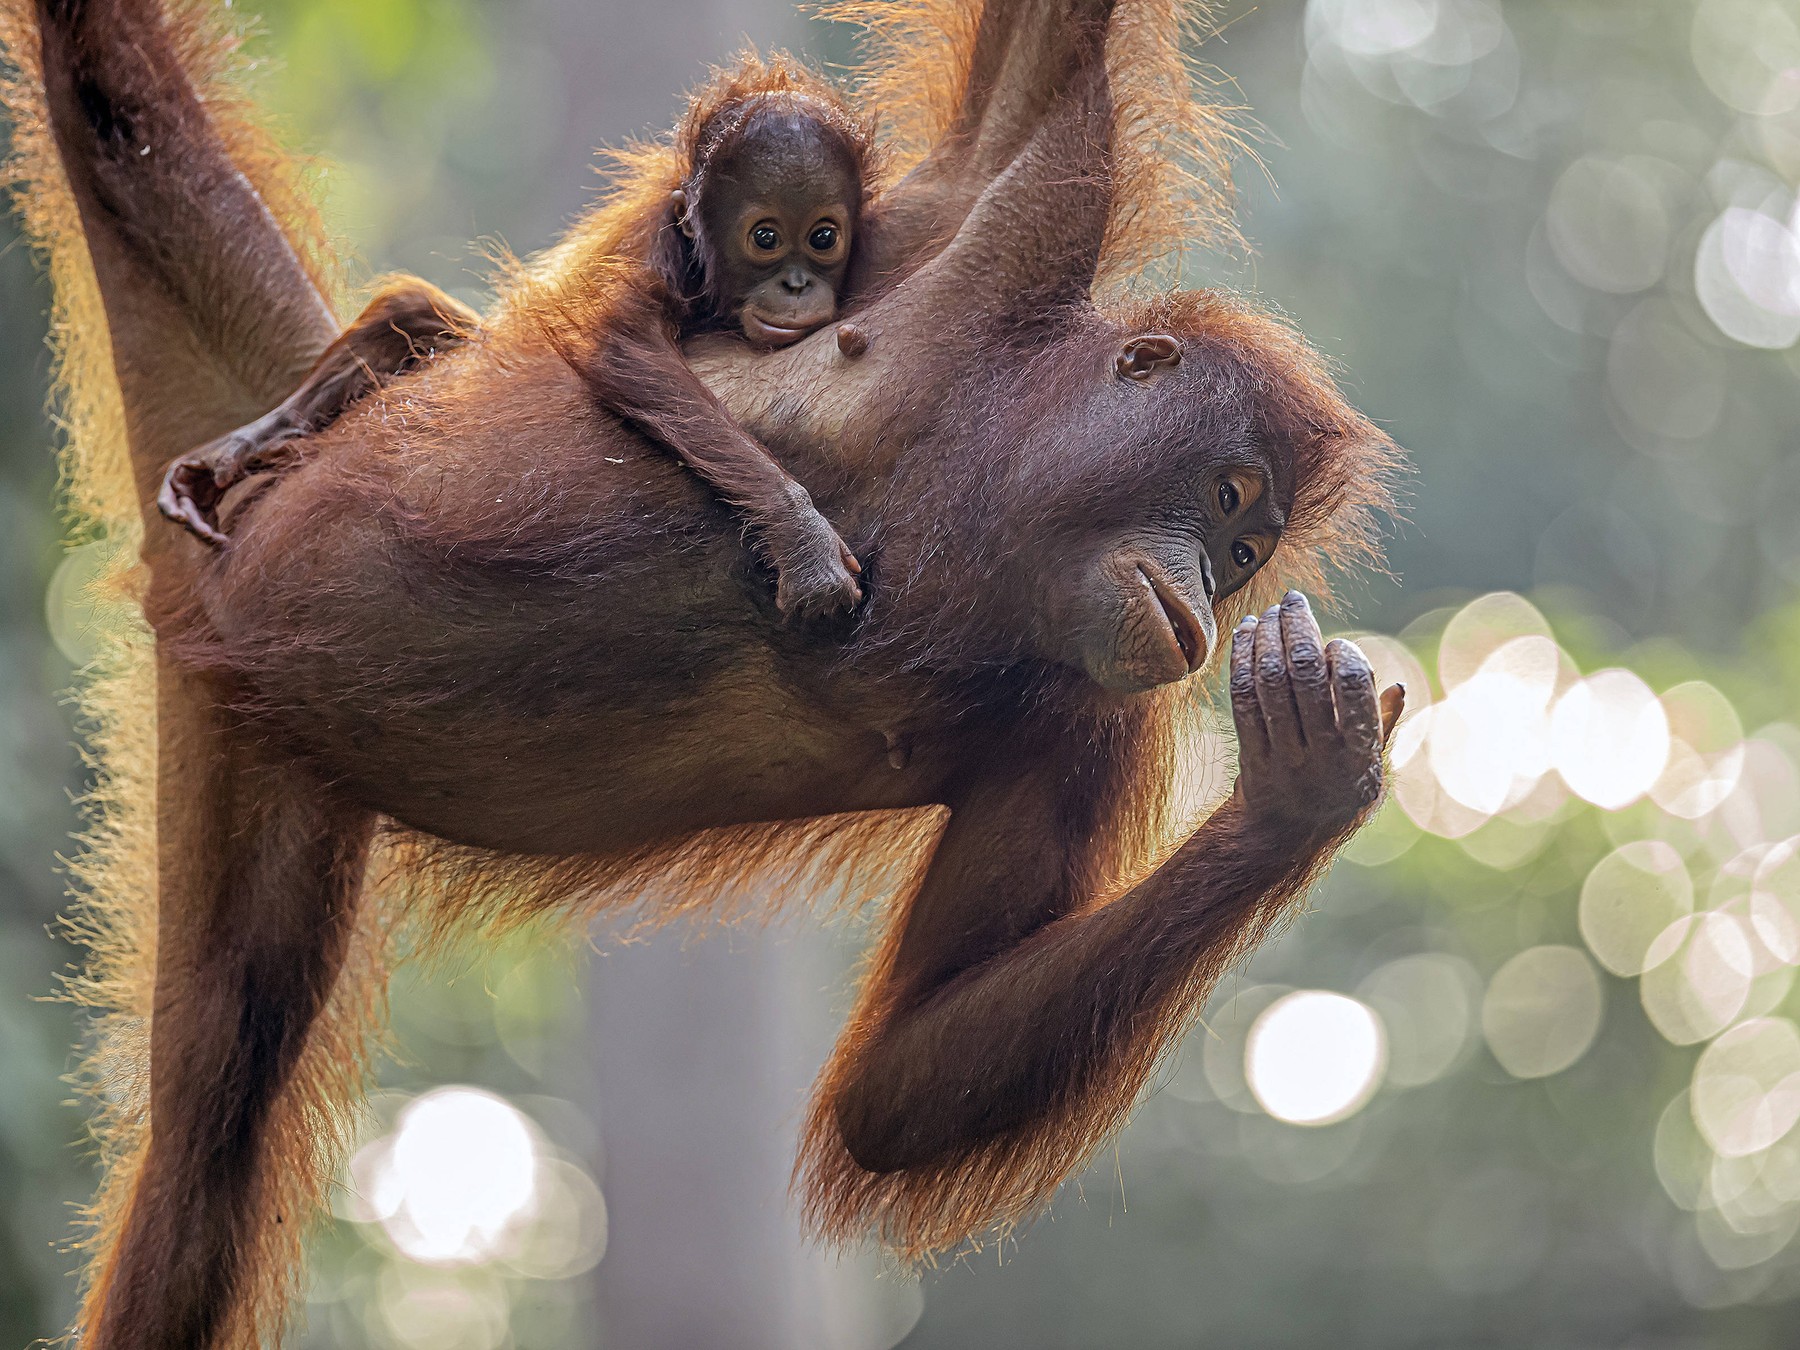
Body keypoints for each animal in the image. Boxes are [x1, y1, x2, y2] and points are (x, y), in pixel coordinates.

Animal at [156, 83, 876, 619]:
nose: (795, 284)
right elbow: (622, 344)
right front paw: (801, 537)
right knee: (412, 313)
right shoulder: (655, 246)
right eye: (765, 237)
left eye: (822, 237)